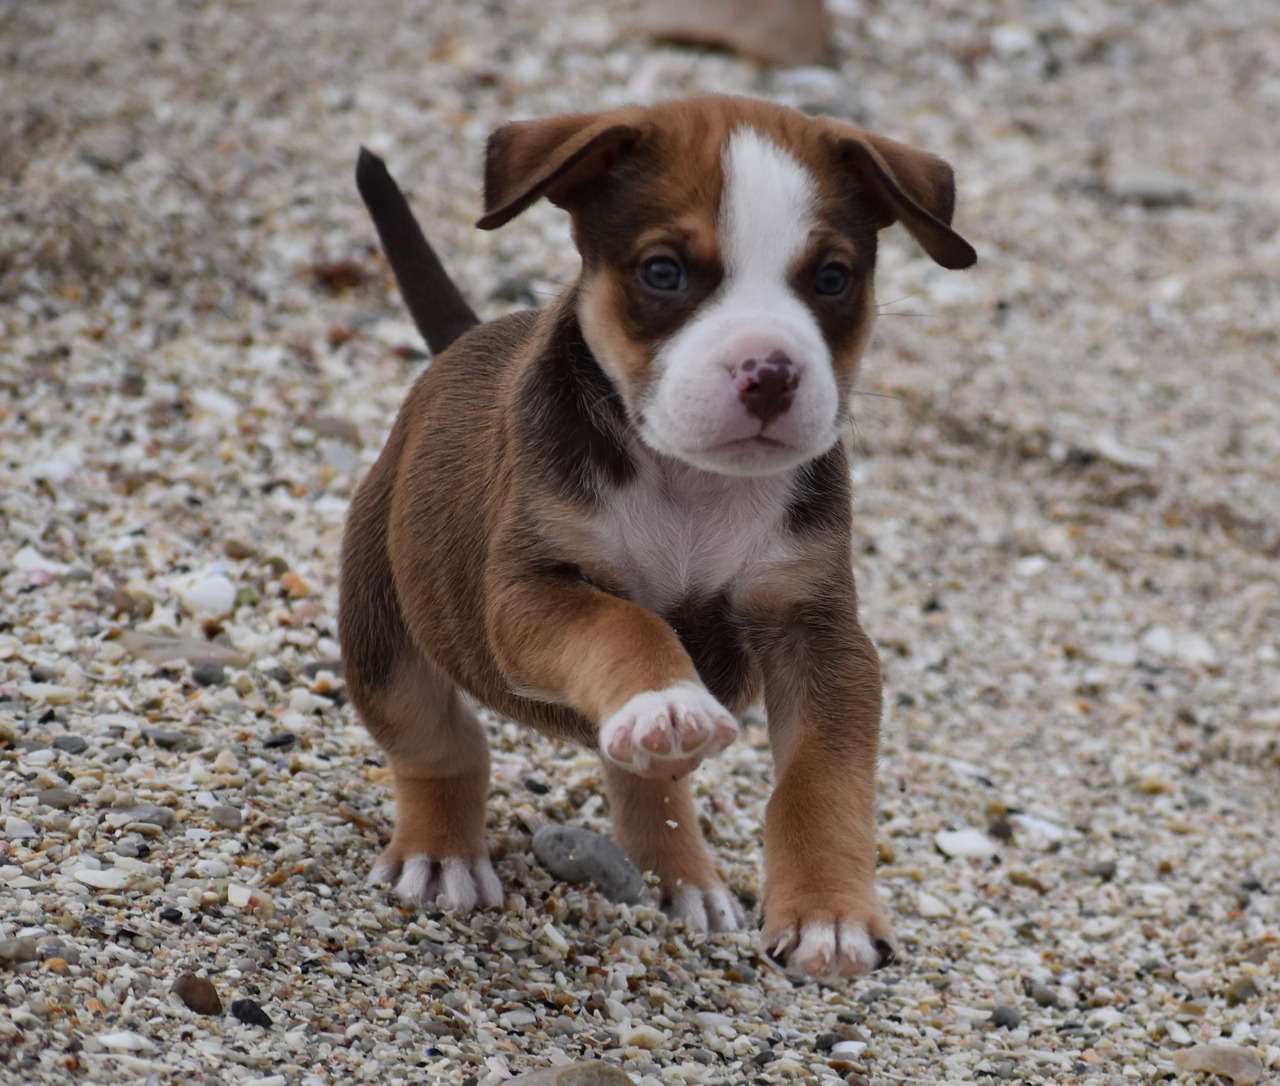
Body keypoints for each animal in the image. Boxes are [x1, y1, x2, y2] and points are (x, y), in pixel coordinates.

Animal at [335, 93, 972, 978]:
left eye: (833, 279)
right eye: (663, 272)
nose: (770, 373)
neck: (692, 484)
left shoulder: (820, 632)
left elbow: (822, 779)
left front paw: (829, 914)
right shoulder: (530, 594)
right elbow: (625, 624)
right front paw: (666, 693)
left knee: (642, 773)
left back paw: (682, 877)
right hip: (383, 625)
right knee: (438, 744)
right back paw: (443, 856)